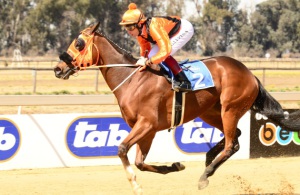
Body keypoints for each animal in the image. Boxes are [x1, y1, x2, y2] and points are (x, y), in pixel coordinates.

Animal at [54, 23, 300, 194]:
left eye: (79, 43)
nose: (58, 68)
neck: (133, 80)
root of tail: (250, 74)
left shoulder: (147, 124)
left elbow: (122, 149)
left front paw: (136, 186)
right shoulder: (148, 130)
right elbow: (140, 162)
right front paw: (175, 165)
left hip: (230, 109)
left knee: (232, 144)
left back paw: (205, 175)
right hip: (210, 112)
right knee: (236, 137)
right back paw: (209, 158)